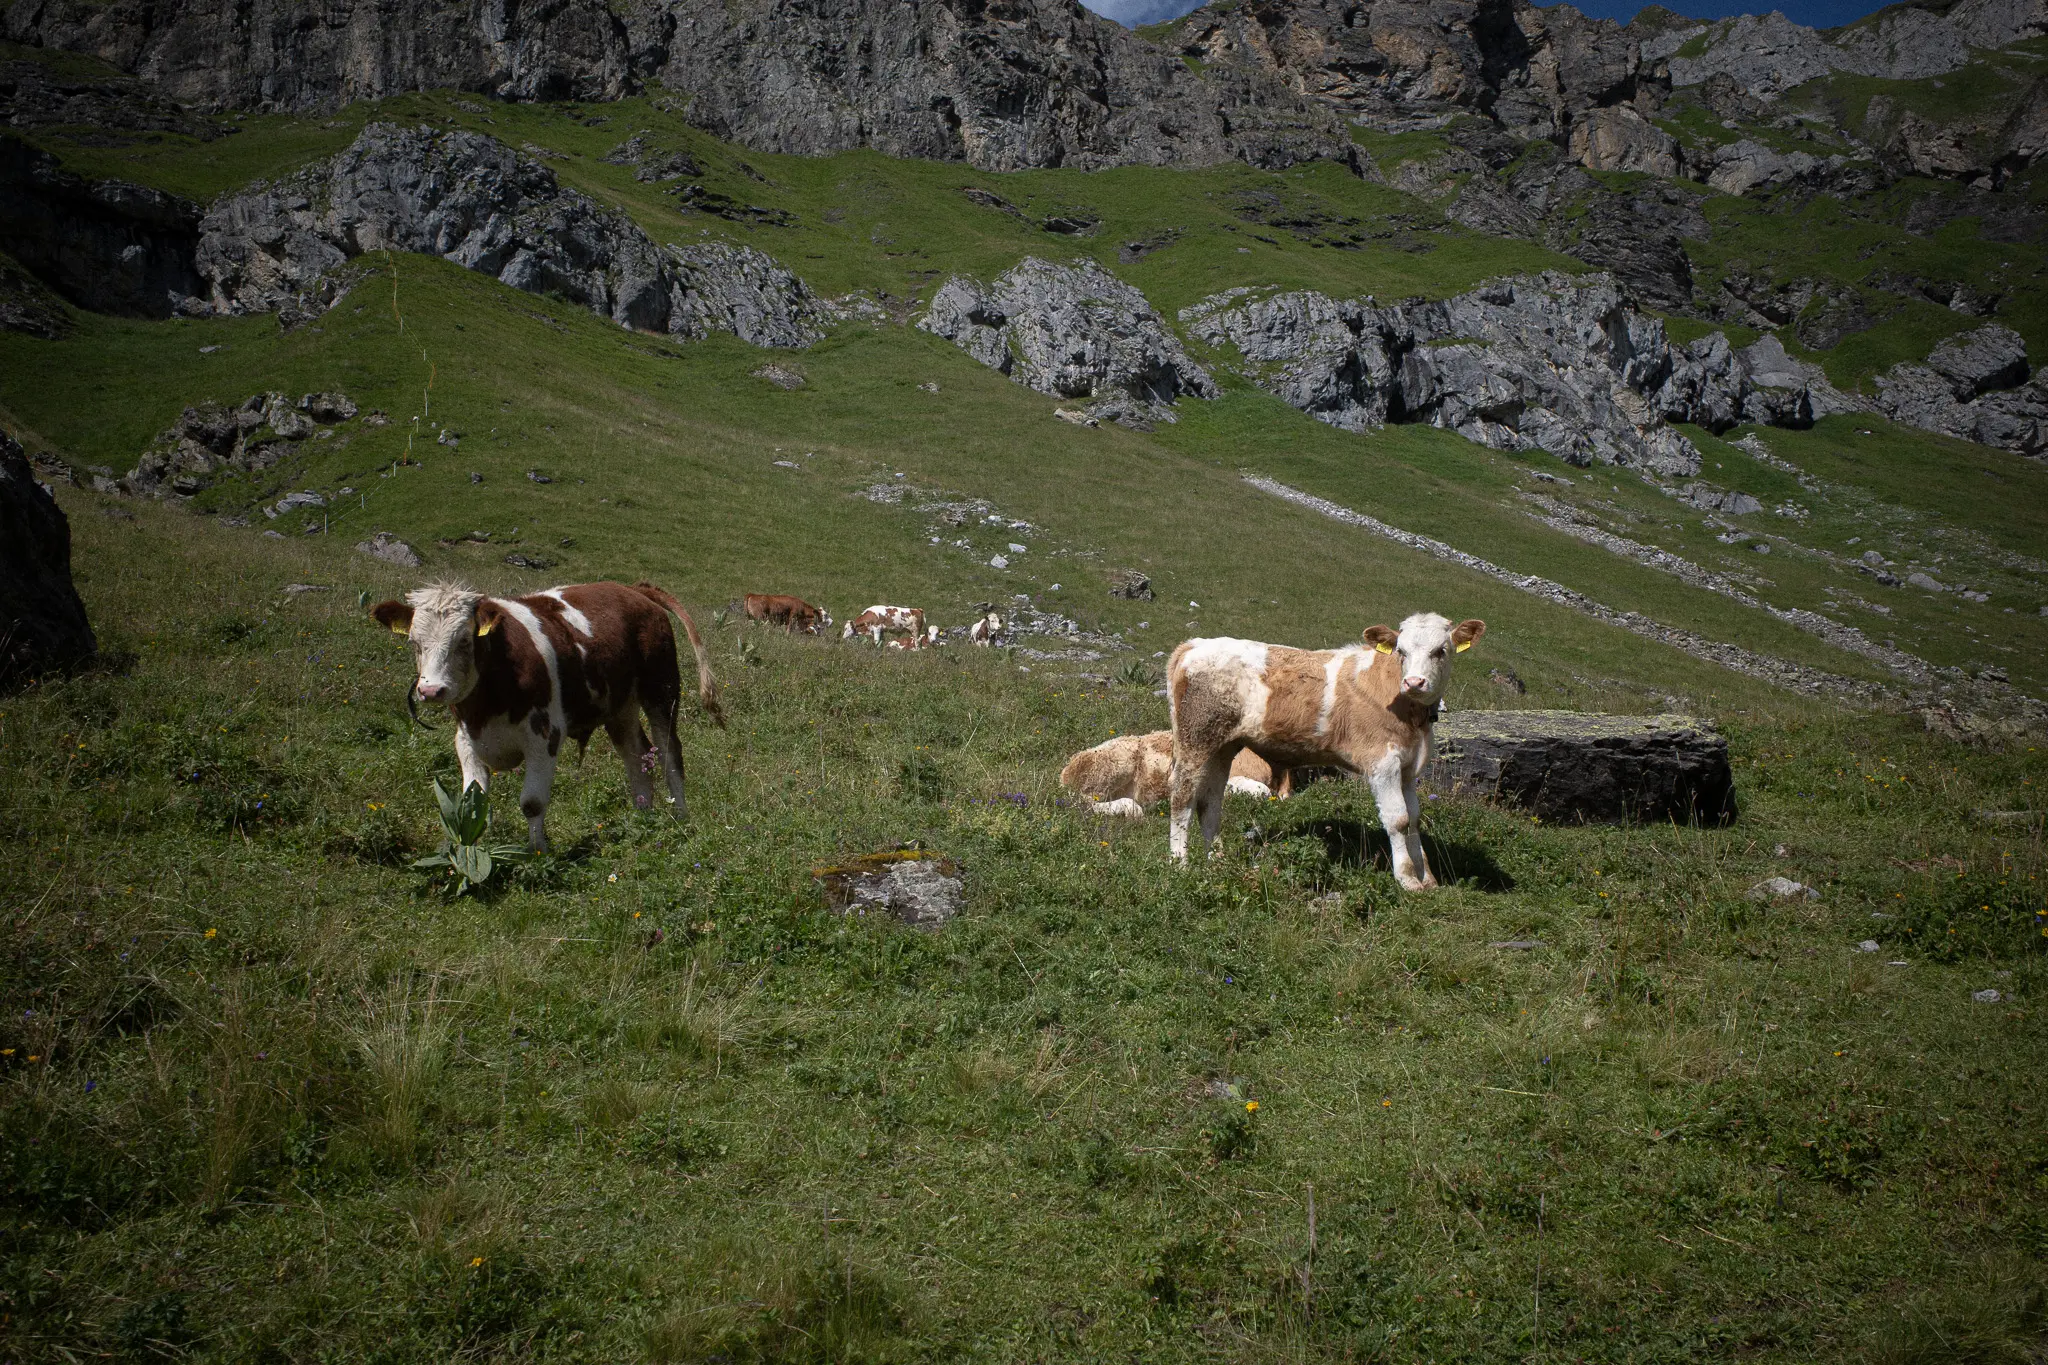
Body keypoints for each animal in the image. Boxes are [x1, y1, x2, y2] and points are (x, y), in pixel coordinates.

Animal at [369, 580, 724, 851]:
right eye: (414, 642)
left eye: (465, 640)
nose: (431, 690)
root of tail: (632, 589)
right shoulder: (467, 740)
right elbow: (474, 802)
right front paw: (473, 848)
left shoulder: (544, 735)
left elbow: (532, 802)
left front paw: (537, 852)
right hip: (620, 707)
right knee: (636, 753)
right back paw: (642, 814)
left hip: (661, 690)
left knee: (668, 752)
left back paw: (681, 817)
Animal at [1167, 613, 1484, 887]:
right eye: (1400, 651)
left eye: (1441, 651)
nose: (1414, 682)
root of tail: (1194, 645)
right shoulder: (1383, 763)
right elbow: (1399, 819)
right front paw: (1408, 880)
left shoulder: (1408, 768)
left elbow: (1415, 818)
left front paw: (1427, 879)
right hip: (1195, 739)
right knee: (1182, 798)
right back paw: (1179, 865)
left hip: (1223, 746)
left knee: (1210, 804)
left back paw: (1216, 860)